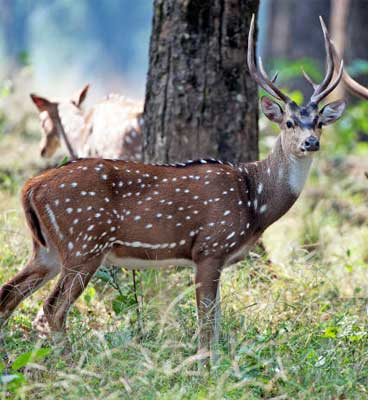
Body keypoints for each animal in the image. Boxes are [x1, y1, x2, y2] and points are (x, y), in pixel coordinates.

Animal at [0, 17, 344, 358]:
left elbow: (216, 322)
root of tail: (30, 187)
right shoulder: (210, 246)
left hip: (47, 249)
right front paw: (205, 366)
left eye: (319, 122)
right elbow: (206, 324)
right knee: (51, 309)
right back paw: (69, 363)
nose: (310, 142)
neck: (254, 200)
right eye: (289, 122)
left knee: (9, 294)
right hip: (84, 243)